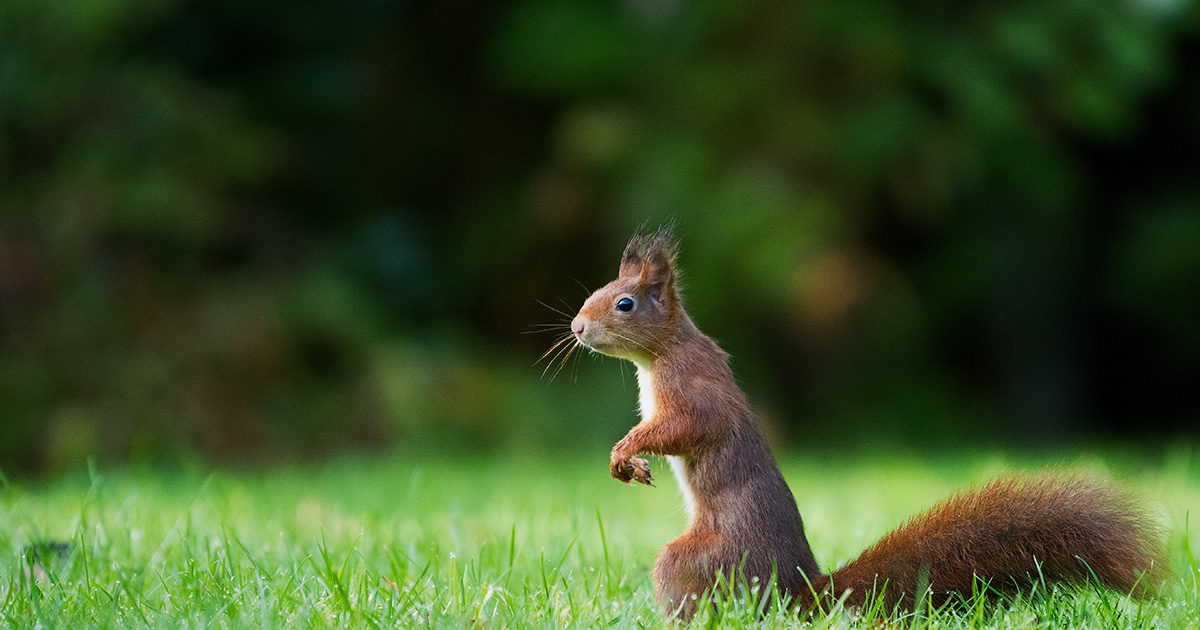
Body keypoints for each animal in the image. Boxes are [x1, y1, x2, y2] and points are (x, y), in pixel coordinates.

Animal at [566, 225, 1166, 619]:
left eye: (623, 303)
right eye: (594, 293)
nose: (575, 327)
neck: (661, 354)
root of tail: (800, 592)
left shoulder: (693, 392)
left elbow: (687, 428)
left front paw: (627, 450)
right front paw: (630, 462)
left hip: (699, 560)